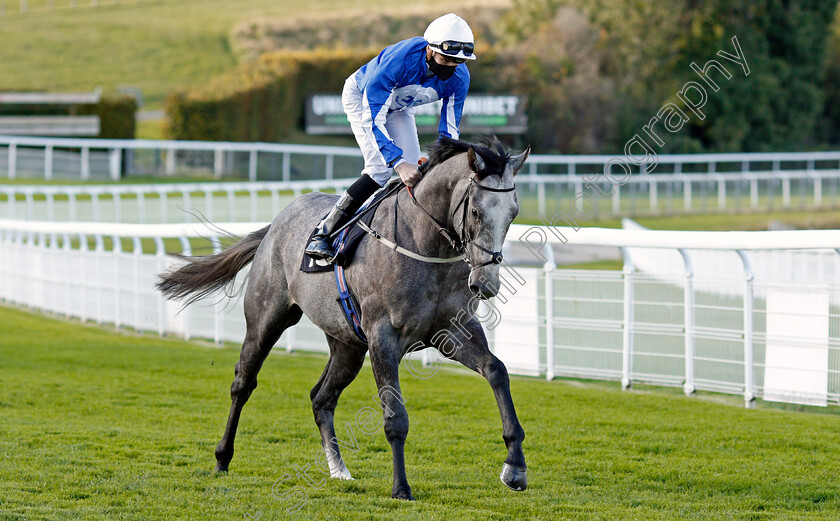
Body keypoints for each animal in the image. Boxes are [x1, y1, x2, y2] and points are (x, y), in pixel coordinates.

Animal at [158, 137, 532, 500]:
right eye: (475, 210)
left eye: (514, 213)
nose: (486, 283)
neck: (424, 245)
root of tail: (278, 222)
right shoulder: (383, 337)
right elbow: (395, 416)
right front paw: (401, 488)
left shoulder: (454, 331)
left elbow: (497, 371)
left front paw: (514, 466)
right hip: (267, 319)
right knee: (243, 384)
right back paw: (223, 457)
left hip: (347, 345)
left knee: (321, 398)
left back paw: (339, 469)